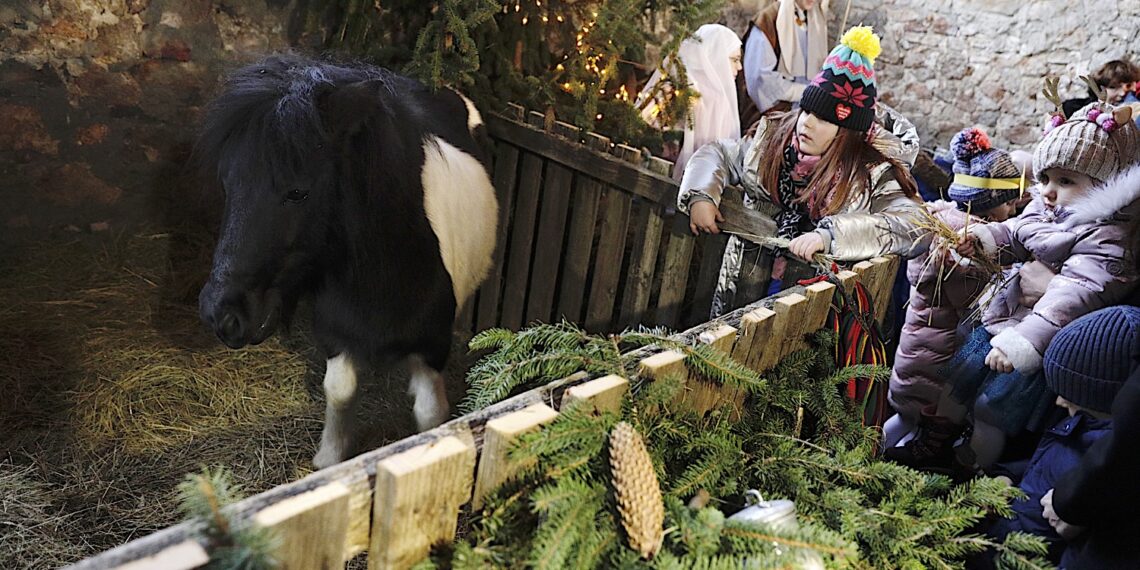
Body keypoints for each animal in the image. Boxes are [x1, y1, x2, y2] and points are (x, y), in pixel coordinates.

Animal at [194, 54, 494, 467]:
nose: (222, 315)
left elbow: (429, 414)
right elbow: (339, 392)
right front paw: (329, 458)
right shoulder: (337, 333)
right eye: (227, 183)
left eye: (298, 192)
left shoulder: (432, 346)